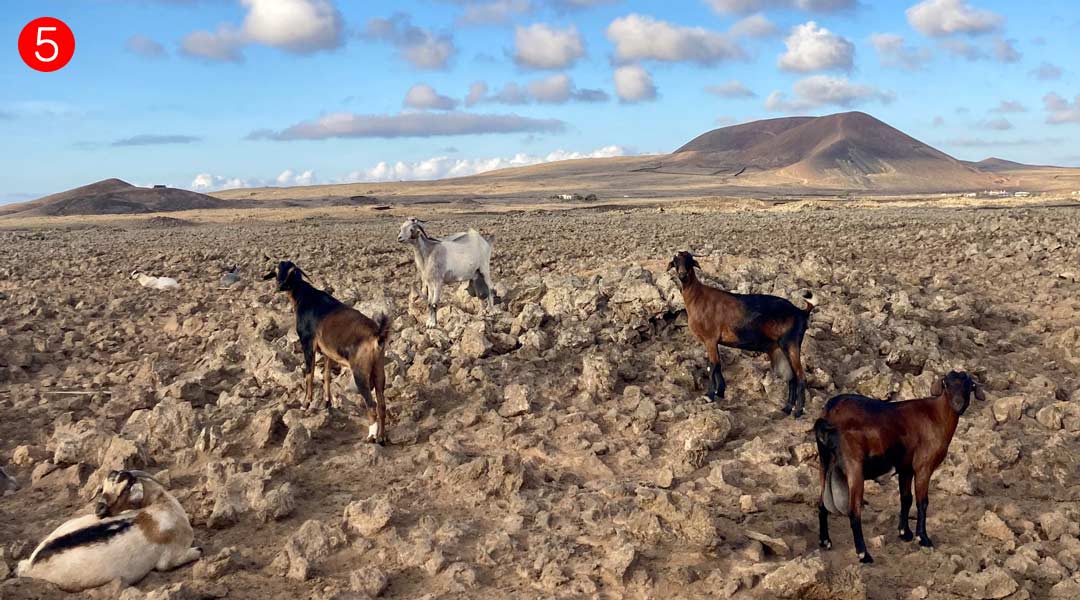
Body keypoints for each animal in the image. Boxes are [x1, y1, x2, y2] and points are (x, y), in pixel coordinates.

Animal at [16, 468, 201, 591]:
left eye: (125, 488)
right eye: (103, 488)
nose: (100, 509)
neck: (158, 507)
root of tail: (30, 564)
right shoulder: (168, 559)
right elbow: (197, 551)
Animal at [262, 261, 393, 444]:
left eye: (292, 271)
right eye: (275, 271)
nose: (280, 286)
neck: (306, 297)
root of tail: (377, 335)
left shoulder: (308, 343)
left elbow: (309, 373)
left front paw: (306, 403)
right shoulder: (327, 352)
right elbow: (326, 375)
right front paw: (327, 403)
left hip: (360, 373)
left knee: (372, 404)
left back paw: (371, 436)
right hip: (378, 370)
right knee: (381, 404)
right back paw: (381, 437)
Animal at [669, 251, 812, 416]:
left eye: (689, 260)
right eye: (675, 261)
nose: (682, 274)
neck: (698, 297)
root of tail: (802, 312)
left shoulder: (710, 339)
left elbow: (712, 366)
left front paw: (709, 395)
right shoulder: (713, 341)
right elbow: (717, 365)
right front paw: (720, 392)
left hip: (791, 344)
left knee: (801, 377)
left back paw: (798, 411)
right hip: (780, 349)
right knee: (792, 378)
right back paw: (787, 408)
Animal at [816, 371, 989, 561]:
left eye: (968, 386)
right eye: (947, 384)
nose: (958, 404)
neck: (936, 416)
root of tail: (829, 413)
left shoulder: (906, 468)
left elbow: (906, 498)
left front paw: (904, 533)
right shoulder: (923, 466)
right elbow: (922, 502)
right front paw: (923, 538)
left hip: (825, 463)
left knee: (821, 503)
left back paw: (825, 541)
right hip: (854, 467)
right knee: (853, 511)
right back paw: (864, 554)